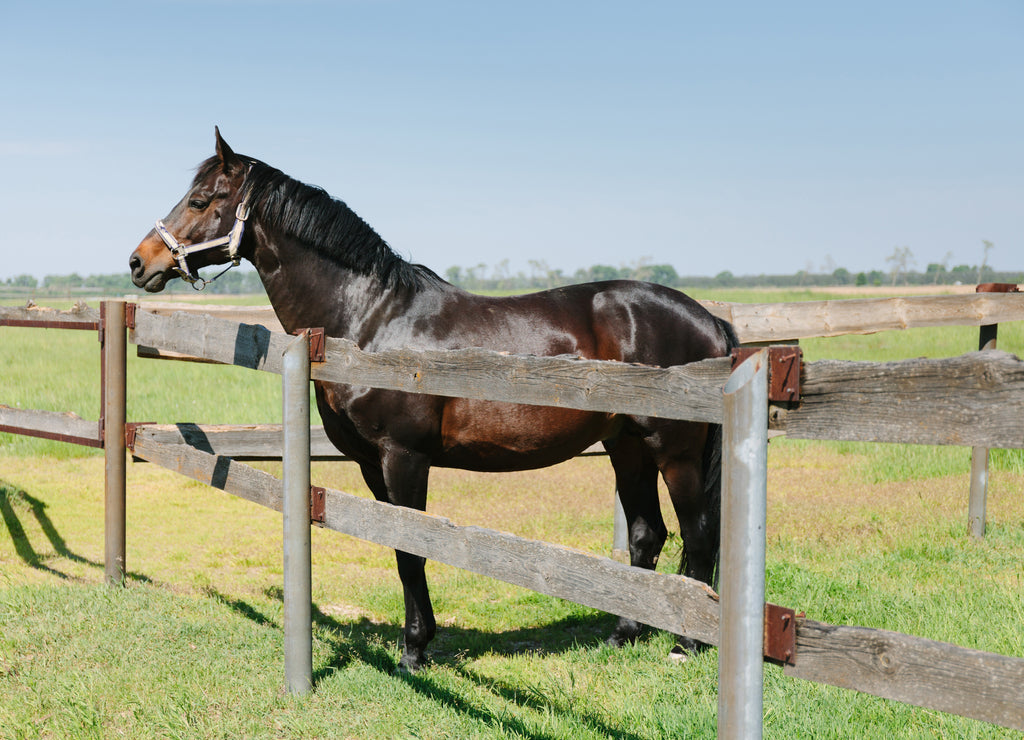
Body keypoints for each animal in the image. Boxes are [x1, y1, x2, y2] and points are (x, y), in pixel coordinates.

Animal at [130, 130, 737, 675]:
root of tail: (710, 321)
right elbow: (398, 546)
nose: (139, 262)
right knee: (646, 535)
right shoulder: (371, 463)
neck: (371, 322)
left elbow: (412, 548)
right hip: (626, 445)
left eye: (201, 200)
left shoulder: (405, 456)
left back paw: (686, 645)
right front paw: (417, 643)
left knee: (699, 535)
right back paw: (625, 633)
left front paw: (414, 651)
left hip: (674, 453)